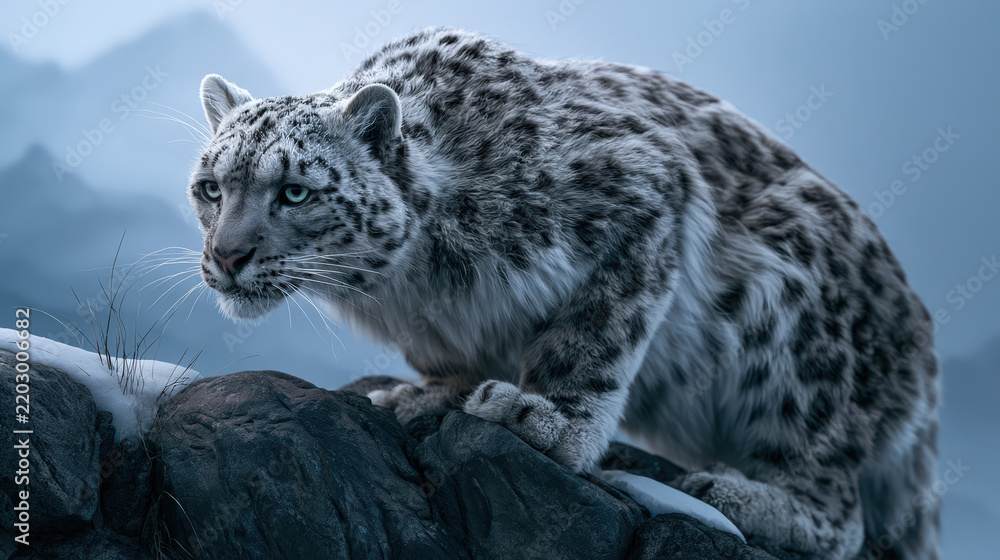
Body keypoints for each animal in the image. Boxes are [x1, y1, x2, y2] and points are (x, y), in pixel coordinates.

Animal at [188, 27, 940, 559]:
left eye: (295, 191)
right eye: (210, 187)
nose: (227, 255)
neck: (409, 286)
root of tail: (922, 356)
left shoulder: (640, 193)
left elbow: (596, 334)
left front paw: (547, 420)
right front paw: (425, 393)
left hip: (796, 356)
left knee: (839, 510)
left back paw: (731, 490)